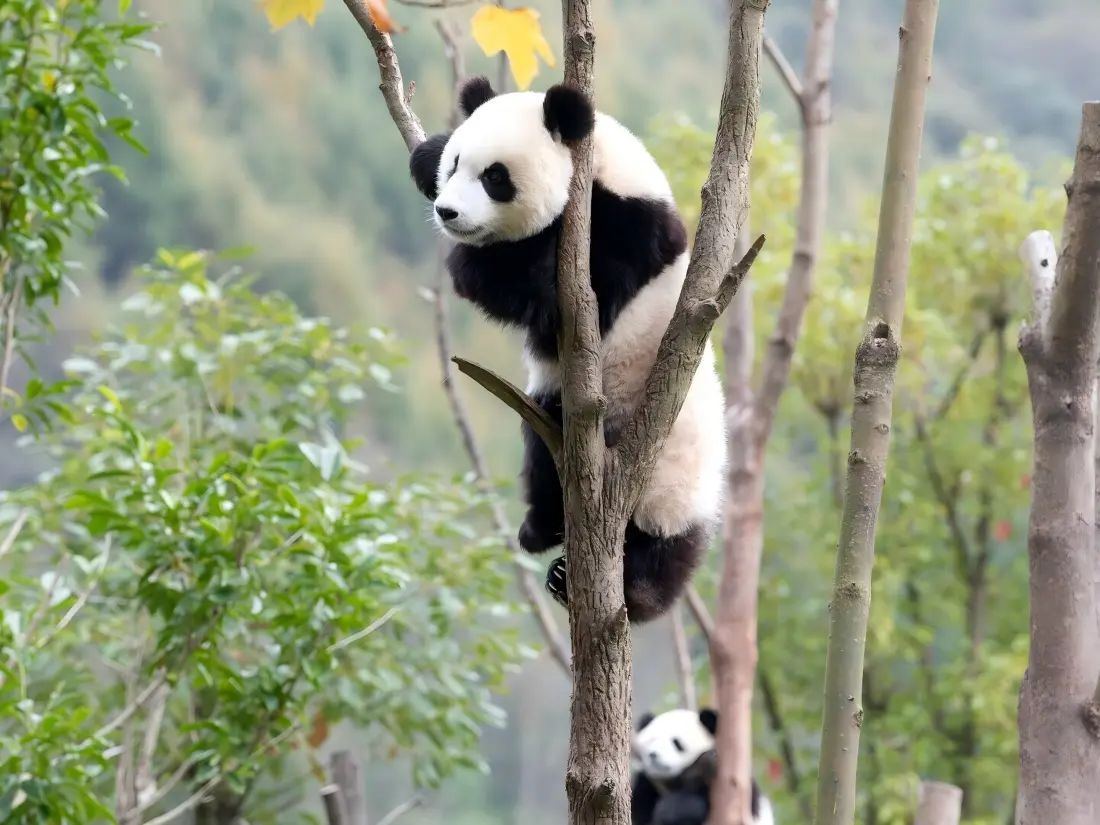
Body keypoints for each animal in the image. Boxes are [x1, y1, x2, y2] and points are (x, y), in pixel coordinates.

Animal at [409, 75, 727, 623]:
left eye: (496, 177)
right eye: (456, 164)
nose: (449, 212)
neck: (600, 172)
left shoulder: (627, 235)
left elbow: (555, 300)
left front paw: (475, 264)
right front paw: (424, 157)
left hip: (673, 480)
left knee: (664, 549)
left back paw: (631, 590)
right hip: (553, 413)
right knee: (542, 453)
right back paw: (542, 533)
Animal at [632, 708, 775, 825]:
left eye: (677, 743)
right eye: (651, 740)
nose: (653, 755)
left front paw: (671, 809)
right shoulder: (645, 784)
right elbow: (638, 812)